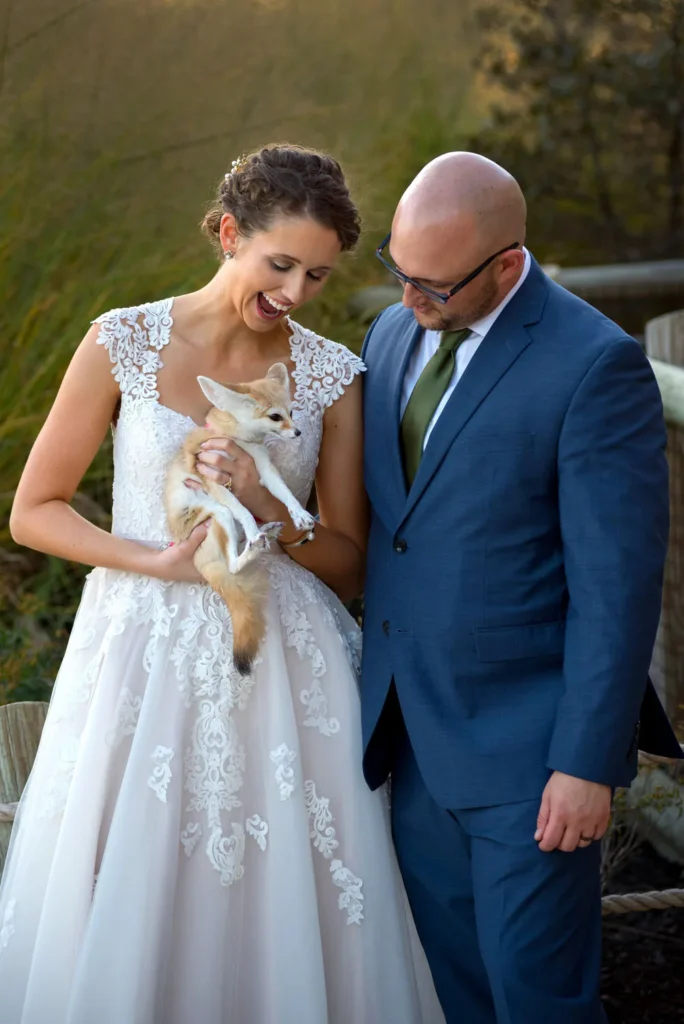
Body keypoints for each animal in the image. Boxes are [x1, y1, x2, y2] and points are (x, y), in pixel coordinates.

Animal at [165, 364, 315, 675]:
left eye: (291, 411)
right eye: (275, 416)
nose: (297, 432)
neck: (242, 440)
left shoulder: (264, 470)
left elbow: (284, 494)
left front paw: (300, 514)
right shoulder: (214, 482)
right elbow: (244, 511)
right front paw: (254, 529)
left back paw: (265, 535)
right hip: (217, 514)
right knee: (232, 566)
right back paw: (254, 543)